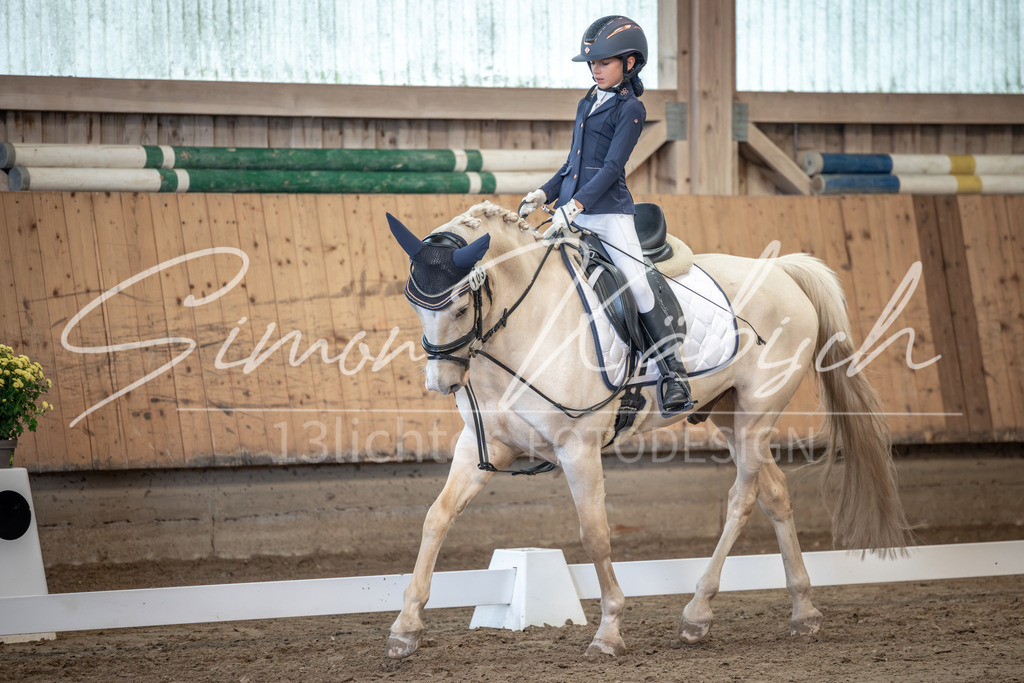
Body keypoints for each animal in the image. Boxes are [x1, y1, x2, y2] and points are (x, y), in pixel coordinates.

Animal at [383, 201, 911, 659]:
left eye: (457, 306)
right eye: (414, 304)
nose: (441, 383)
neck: (527, 326)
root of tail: (782, 270)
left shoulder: (578, 448)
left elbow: (595, 535)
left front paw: (609, 633)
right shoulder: (483, 446)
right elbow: (436, 517)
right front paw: (405, 630)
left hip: (758, 413)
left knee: (741, 498)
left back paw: (697, 614)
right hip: (731, 415)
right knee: (775, 493)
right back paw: (804, 611)